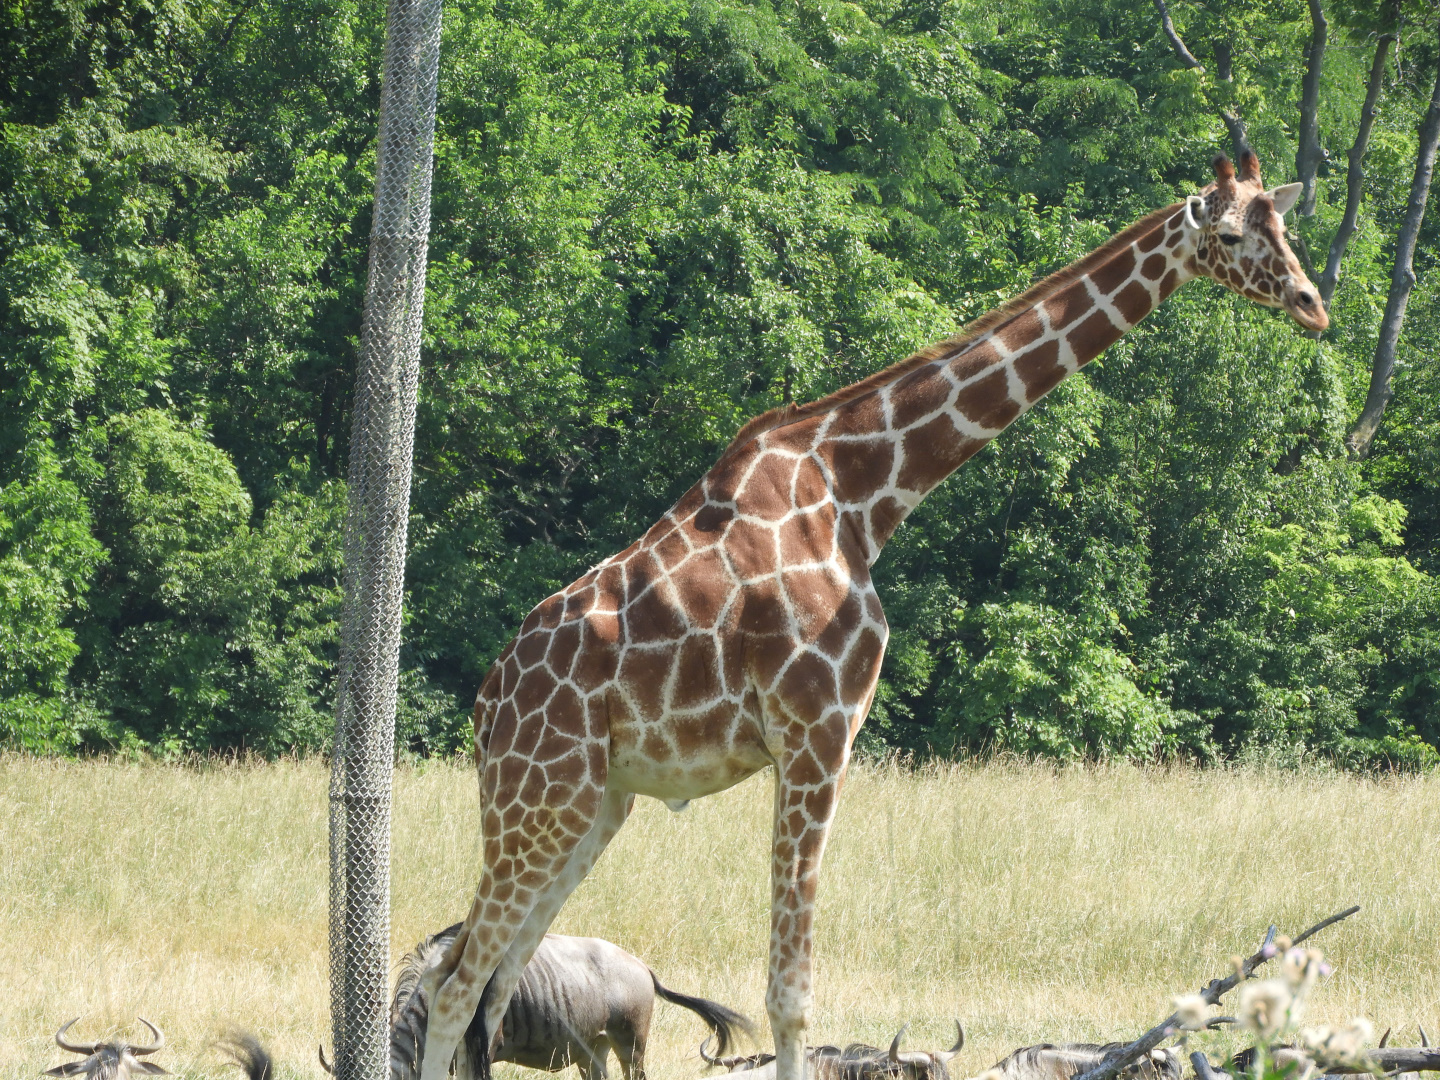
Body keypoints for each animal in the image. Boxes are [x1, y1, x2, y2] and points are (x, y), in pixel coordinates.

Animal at [416, 150, 1327, 1080]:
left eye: (1284, 225)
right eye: (1228, 235)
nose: (1311, 304)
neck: (863, 494)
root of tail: (488, 706)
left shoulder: (810, 740)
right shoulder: (817, 732)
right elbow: (789, 997)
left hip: (595, 804)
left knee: (489, 986)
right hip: (541, 795)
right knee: (455, 986)